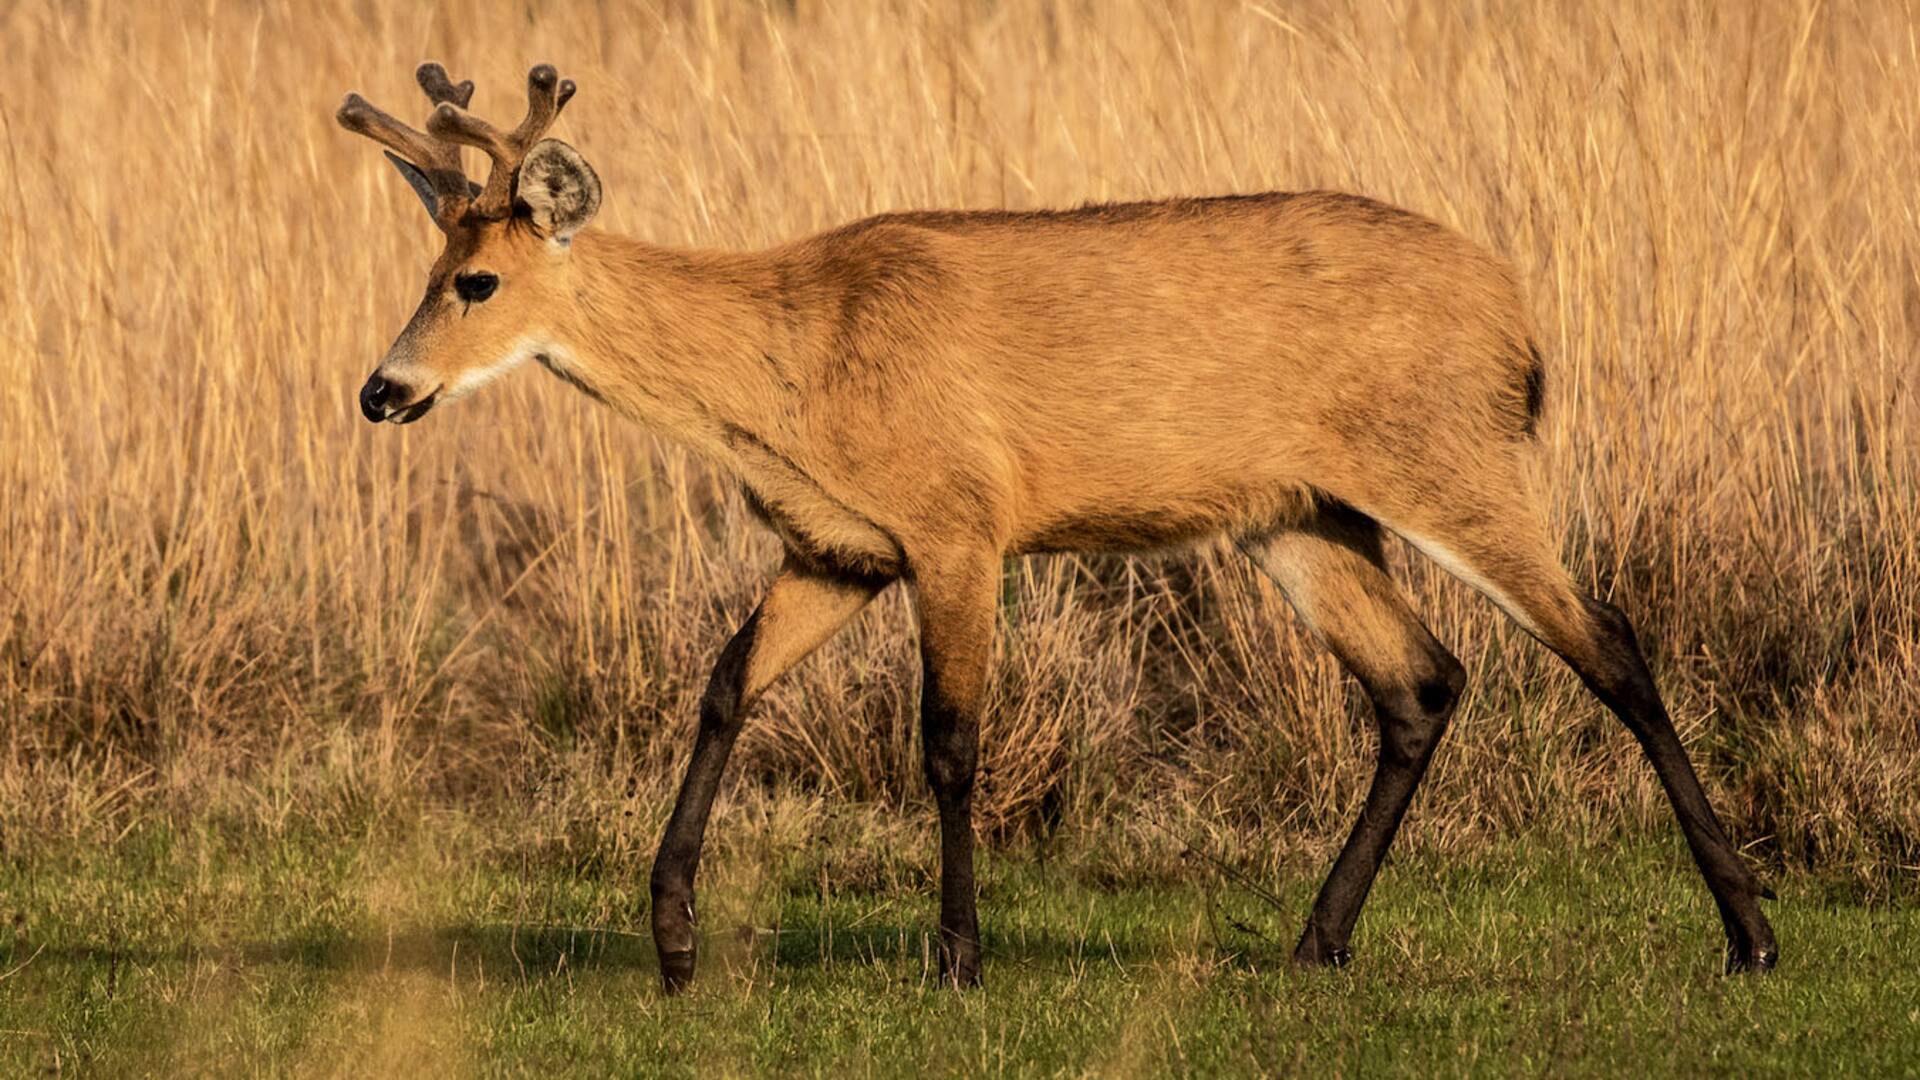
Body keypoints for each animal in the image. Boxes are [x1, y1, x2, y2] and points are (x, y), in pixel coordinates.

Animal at [337, 63, 1778, 991]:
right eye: (427, 269)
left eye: (479, 281)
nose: (381, 391)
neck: (788, 365)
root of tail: (1518, 317)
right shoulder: (838, 547)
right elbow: (724, 684)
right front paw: (676, 944)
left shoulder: (959, 521)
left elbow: (950, 744)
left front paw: (959, 960)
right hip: (1302, 519)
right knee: (1422, 680)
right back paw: (1317, 943)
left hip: (1451, 456)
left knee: (1611, 643)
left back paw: (1751, 934)